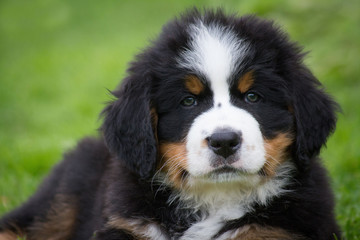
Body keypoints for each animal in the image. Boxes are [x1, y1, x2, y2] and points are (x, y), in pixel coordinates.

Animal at [1, 8, 342, 240]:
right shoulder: (126, 223)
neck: (216, 198)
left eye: (253, 97)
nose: (224, 141)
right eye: (187, 102)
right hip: (60, 200)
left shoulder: (280, 229)